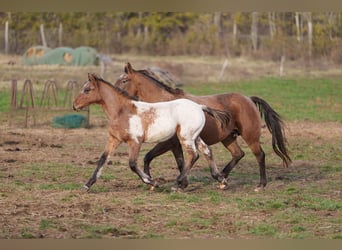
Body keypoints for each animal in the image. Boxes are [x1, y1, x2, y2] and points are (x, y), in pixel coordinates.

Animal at [73, 73, 231, 190]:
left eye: (87, 90)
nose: (74, 105)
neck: (122, 111)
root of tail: (199, 107)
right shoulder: (114, 139)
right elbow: (102, 160)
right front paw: (87, 185)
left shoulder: (135, 141)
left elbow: (132, 164)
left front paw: (152, 182)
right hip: (194, 136)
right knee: (206, 151)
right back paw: (221, 180)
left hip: (185, 137)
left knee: (193, 155)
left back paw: (177, 184)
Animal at [115, 62, 292, 191]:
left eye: (124, 80)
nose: (116, 95)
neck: (165, 104)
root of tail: (248, 99)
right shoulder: (175, 144)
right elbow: (179, 162)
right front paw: (181, 184)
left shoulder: (168, 142)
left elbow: (149, 157)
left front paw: (162, 182)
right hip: (228, 138)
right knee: (238, 154)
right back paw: (222, 176)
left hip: (250, 137)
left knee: (260, 155)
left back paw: (260, 184)